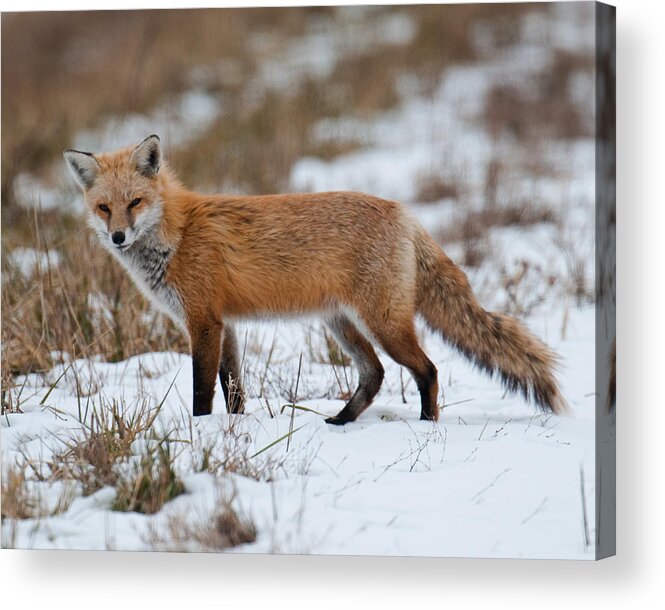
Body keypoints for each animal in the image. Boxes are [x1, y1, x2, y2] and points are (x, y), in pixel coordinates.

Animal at [65, 135, 564, 420]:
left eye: (135, 203)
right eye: (104, 208)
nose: (118, 237)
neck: (179, 233)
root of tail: (404, 212)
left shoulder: (203, 322)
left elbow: (202, 391)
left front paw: (200, 430)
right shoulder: (225, 325)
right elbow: (233, 389)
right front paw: (233, 431)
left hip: (383, 324)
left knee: (427, 370)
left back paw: (426, 425)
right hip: (341, 324)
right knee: (375, 374)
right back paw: (341, 422)